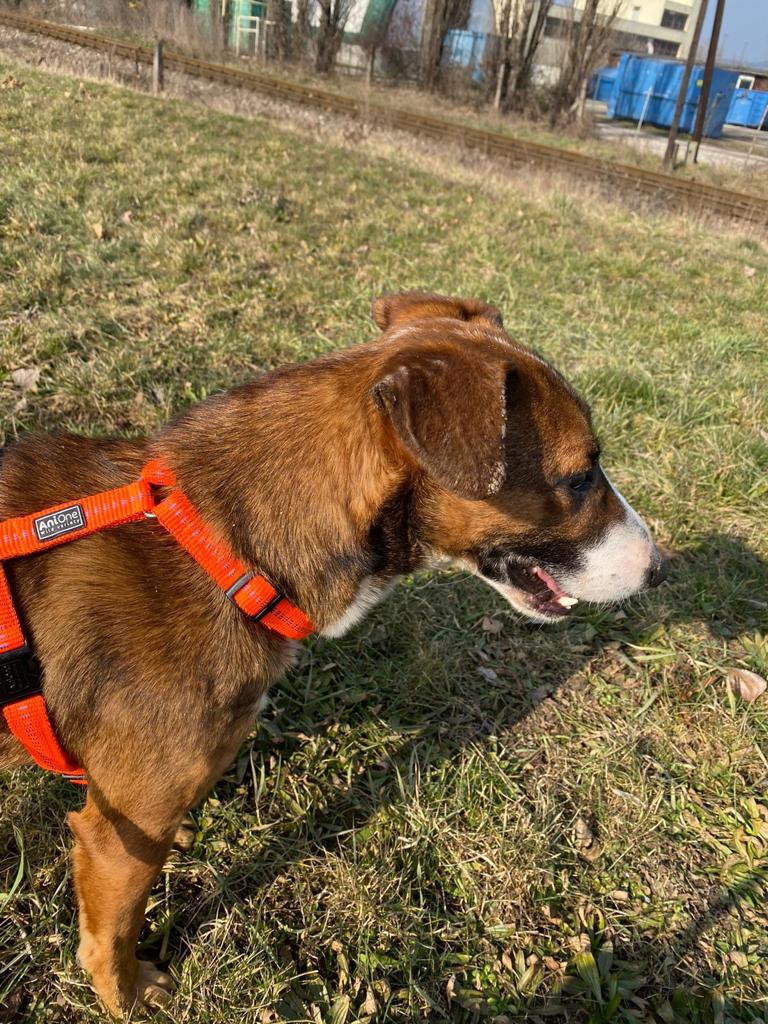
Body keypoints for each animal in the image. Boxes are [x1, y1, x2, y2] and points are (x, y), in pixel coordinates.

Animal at [0, 292, 667, 1015]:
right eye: (579, 477)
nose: (661, 569)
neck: (215, 543)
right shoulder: (117, 836)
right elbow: (111, 938)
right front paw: (128, 1000)